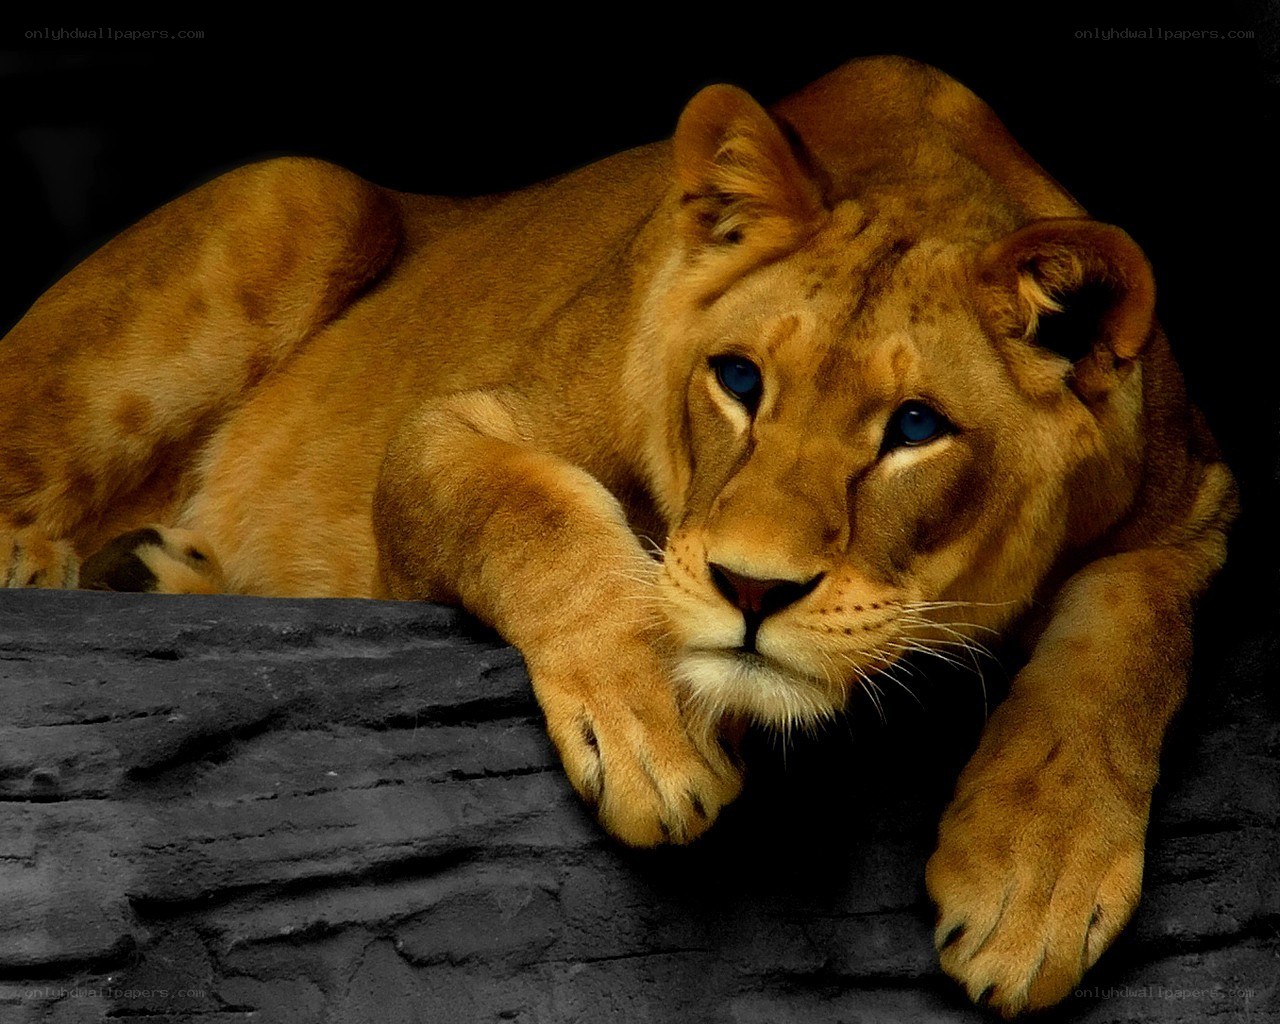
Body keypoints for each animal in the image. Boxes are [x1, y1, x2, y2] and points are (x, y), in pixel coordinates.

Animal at [0, 56, 1235, 1015]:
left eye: (915, 429)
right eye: (739, 379)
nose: (751, 588)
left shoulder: (1198, 510)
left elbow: (1129, 639)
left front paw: (1033, 882)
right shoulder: (450, 424)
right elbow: (536, 513)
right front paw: (654, 736)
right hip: (304, 194)